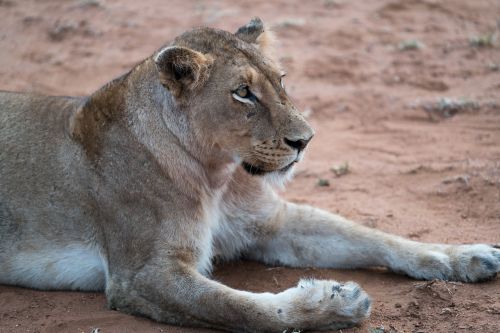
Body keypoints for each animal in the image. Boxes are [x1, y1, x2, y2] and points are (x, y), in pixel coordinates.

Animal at [0, 18, 498, 332]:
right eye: (243, 93)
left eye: (281, 80)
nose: (305, 140)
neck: (217, 174)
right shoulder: (142, 276)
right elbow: (242, 309)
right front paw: (332, 304)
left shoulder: (270, 224)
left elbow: (372, 236)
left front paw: (466, 256)